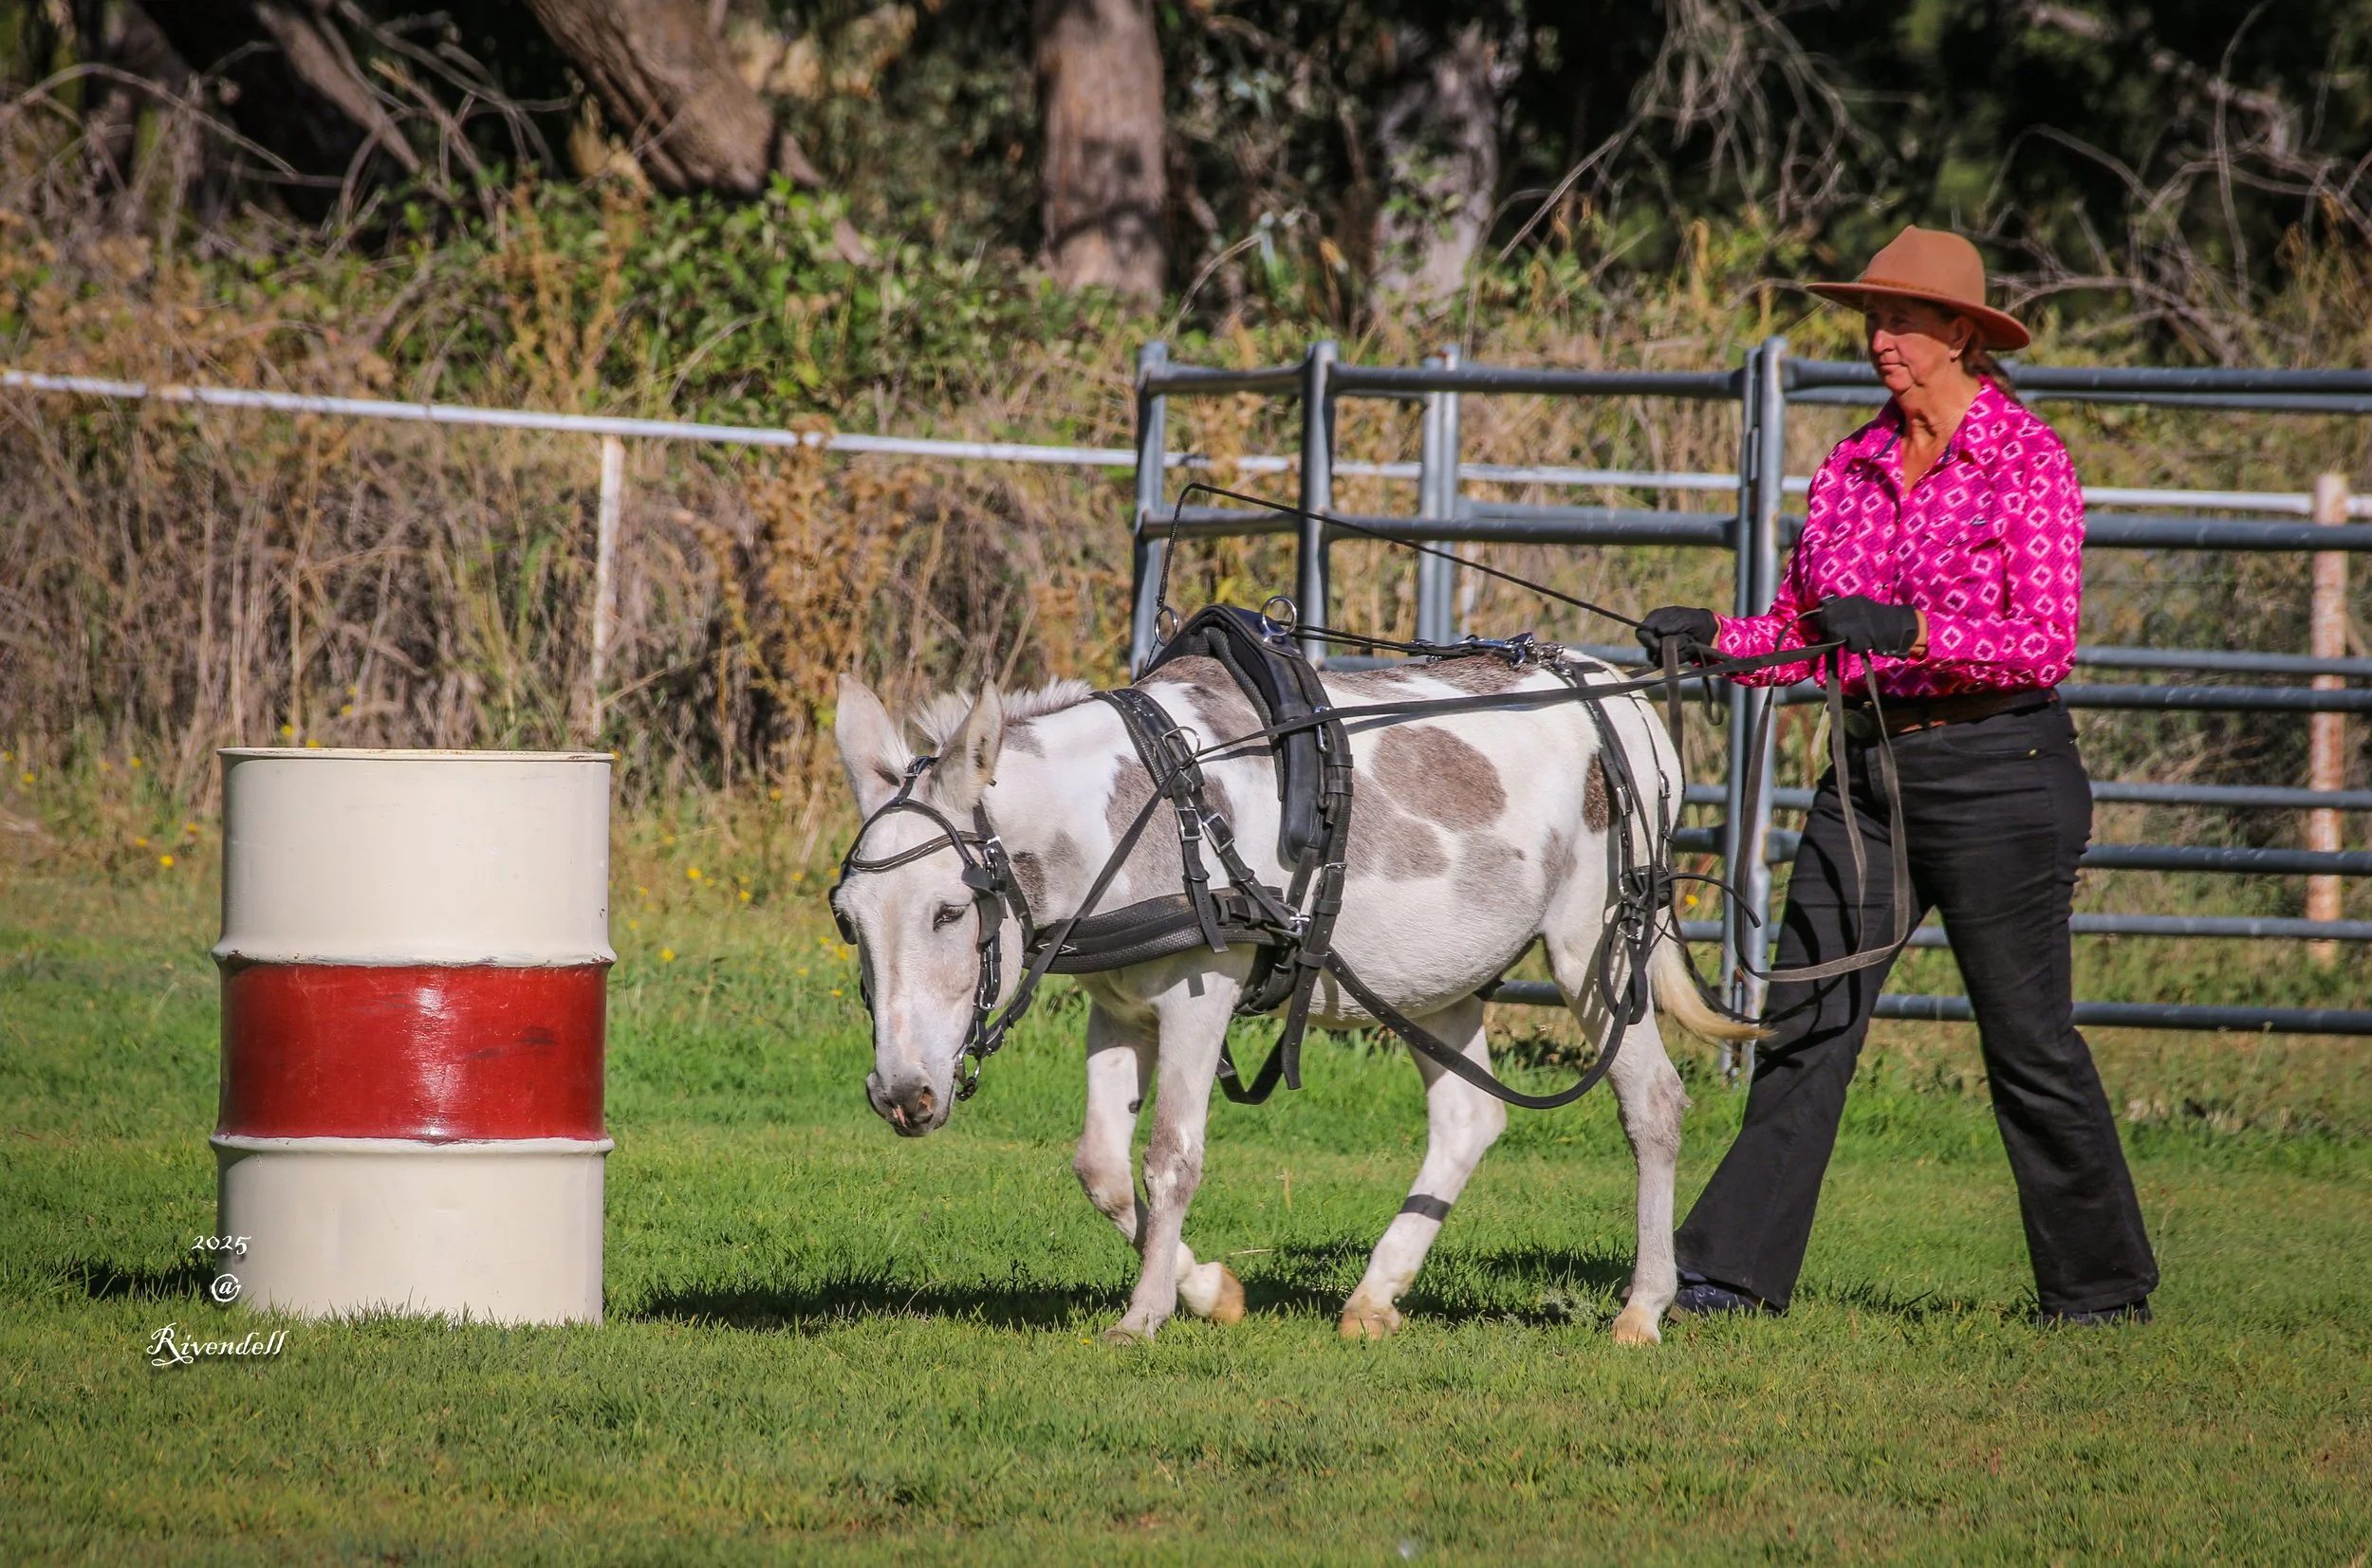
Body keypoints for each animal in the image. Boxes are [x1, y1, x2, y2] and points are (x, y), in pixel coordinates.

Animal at [828, 649, 1760, 1346]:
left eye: (950, 911)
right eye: (848, 919)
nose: (901, 1095)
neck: (1151, 810)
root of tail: (1619, 696)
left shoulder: (1199, 1000)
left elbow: (1170, 1157)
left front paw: (1144, 1314)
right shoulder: (1117, 1007)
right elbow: (1100, 1166)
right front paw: (1211, 1290)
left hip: (1594, 954)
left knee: (1653, 1104)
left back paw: (1643, 1307)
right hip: (1428, 983)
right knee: (1469, 1117)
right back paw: (1376, 1295)